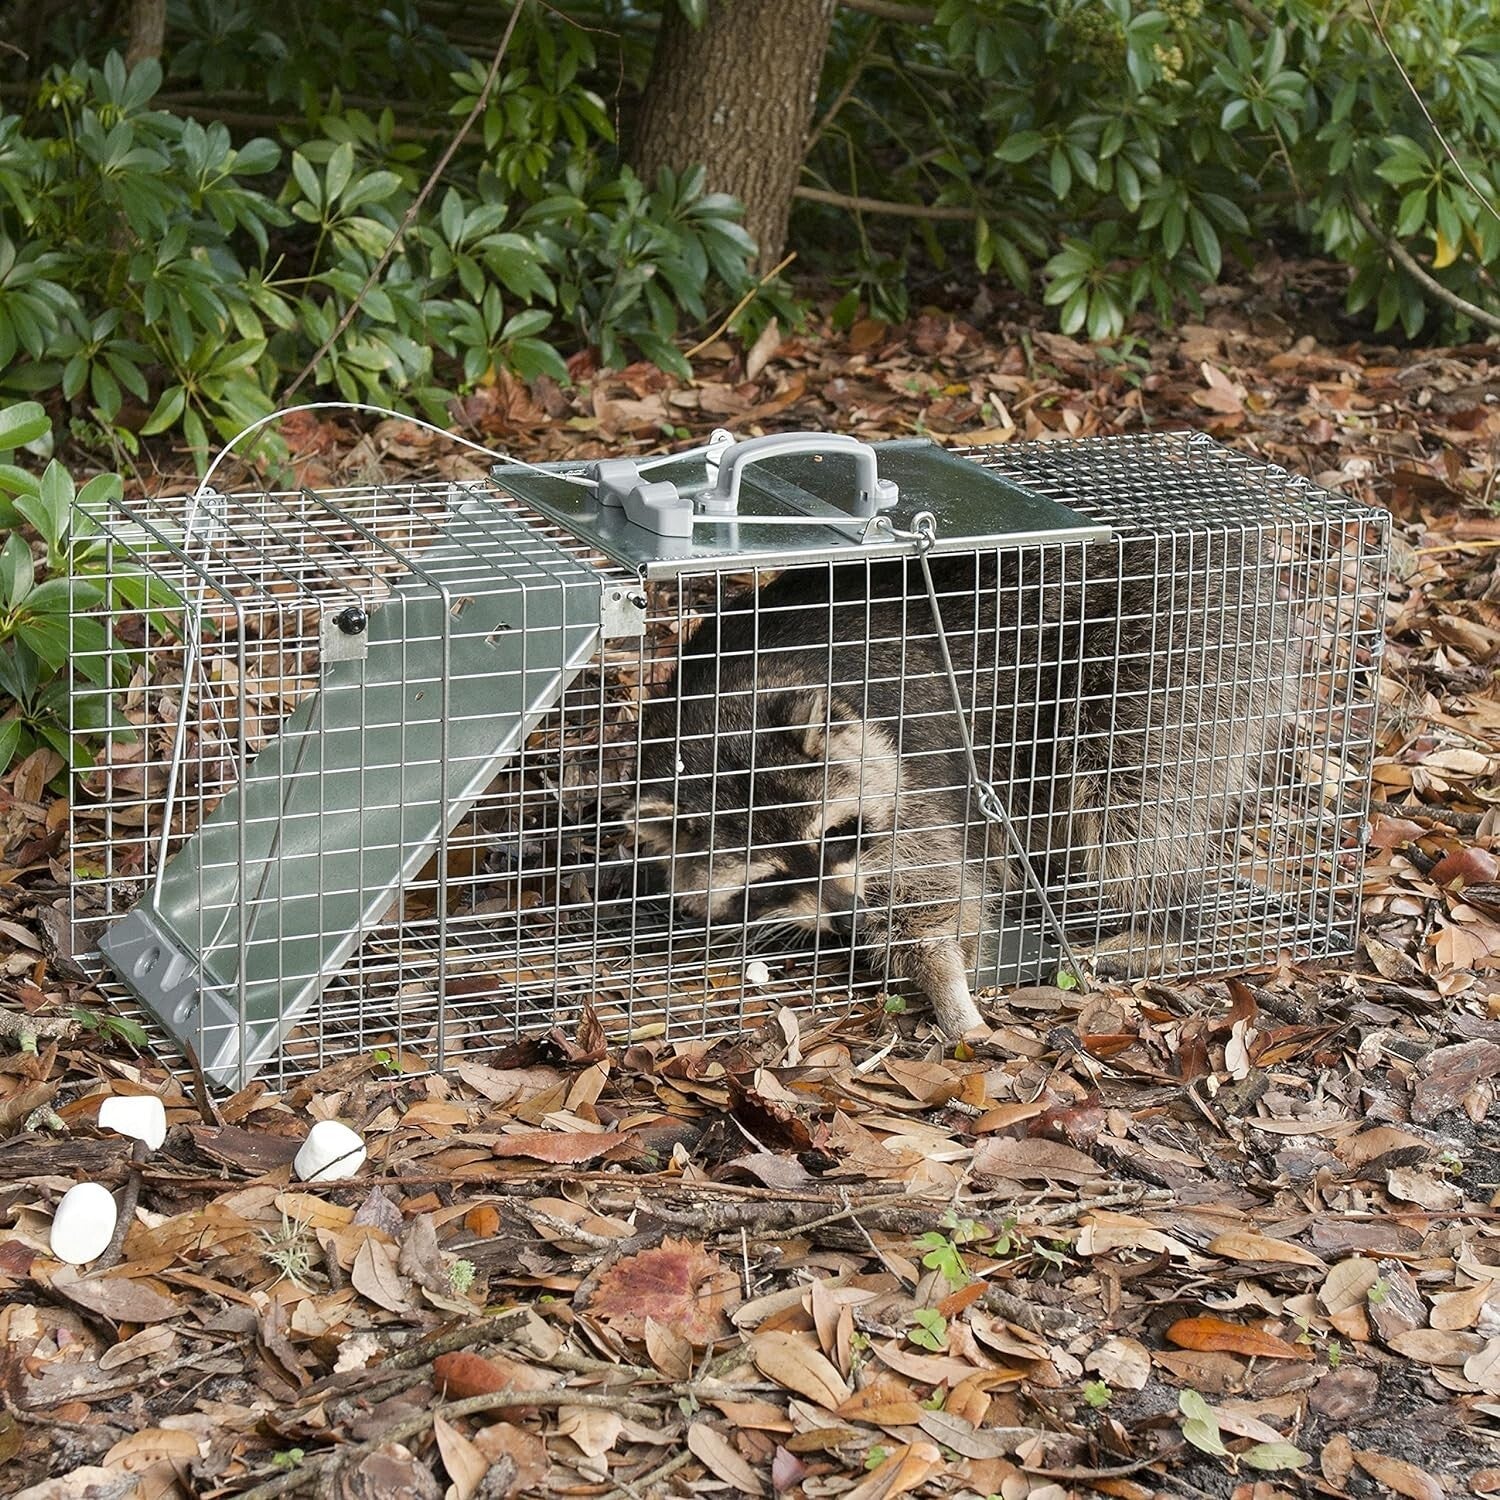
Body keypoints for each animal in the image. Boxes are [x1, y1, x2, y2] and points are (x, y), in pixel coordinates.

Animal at [629, 537, 1289, 1037]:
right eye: (769, 878)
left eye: (837, 834)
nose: (846, 918)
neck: (721, 712)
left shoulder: (910, 771)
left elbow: (932, 891)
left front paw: (947, 985)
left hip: (1160, 660)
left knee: (1127, 806)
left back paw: (1163, 922)